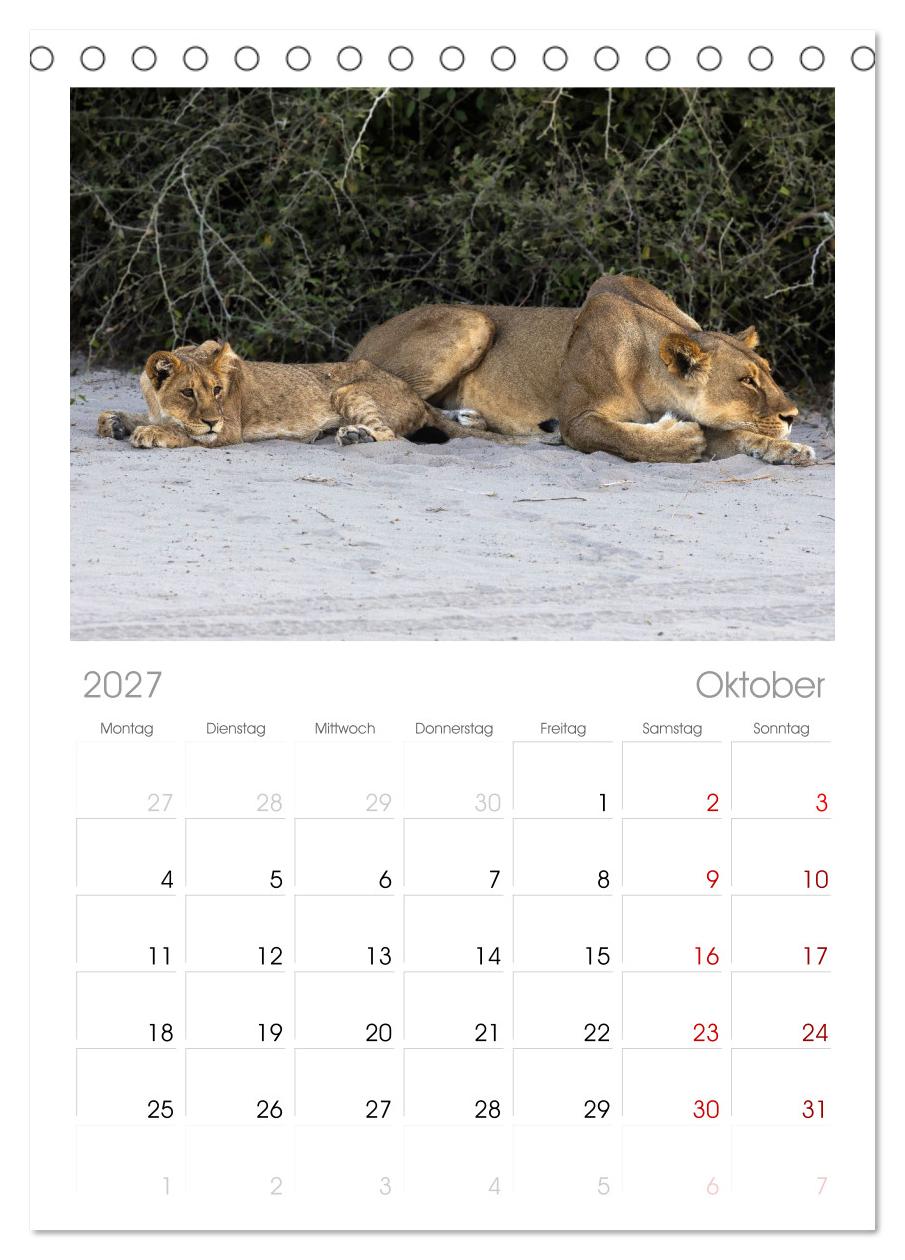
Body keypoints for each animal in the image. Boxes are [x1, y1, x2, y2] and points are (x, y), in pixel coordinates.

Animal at [96, 340, 504, 450]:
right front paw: (114, 422)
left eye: (216, 390)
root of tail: (415, 395)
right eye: (187, 393)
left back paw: (354, 436)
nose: (211, 419)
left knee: (390, 436)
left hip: (349, 389)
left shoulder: (230, 430)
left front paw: (151, 434)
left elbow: (186, 433)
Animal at [351, 275, 817, 465]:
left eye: (769, 373)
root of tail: (363, 338)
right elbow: (619, 436)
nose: (793, 416)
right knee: (409, 399)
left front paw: (790, 450)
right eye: (746, 381)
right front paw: (678, 441)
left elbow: (738, 437)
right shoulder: (577, 417)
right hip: (474, 320)